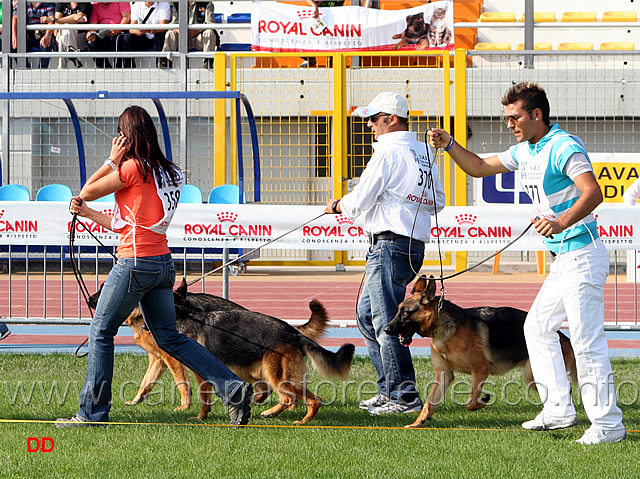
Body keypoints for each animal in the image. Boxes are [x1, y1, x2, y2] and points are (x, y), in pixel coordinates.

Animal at [89, 280, 356, 426]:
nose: (92, 301)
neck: (184, 313)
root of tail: (293, 332)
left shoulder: (190, 369)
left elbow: (196, 393)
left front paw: (198, 415)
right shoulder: (159, 360)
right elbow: (146, 383)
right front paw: (135, 401)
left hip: (277, 375)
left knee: (304, 398)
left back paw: (299, 419)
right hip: (264, 372)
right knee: (284, 397)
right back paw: (268, 410)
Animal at [384, 276, 580, 430]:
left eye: (405, 312)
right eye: (398, 310)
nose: (386, 329)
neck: (445, 327)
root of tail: (564, 337)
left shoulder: (480, 370)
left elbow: (470, 402)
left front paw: (484, 400)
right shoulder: (443, 374)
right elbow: (429, 403)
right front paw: (419, 422)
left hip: (532, 376)